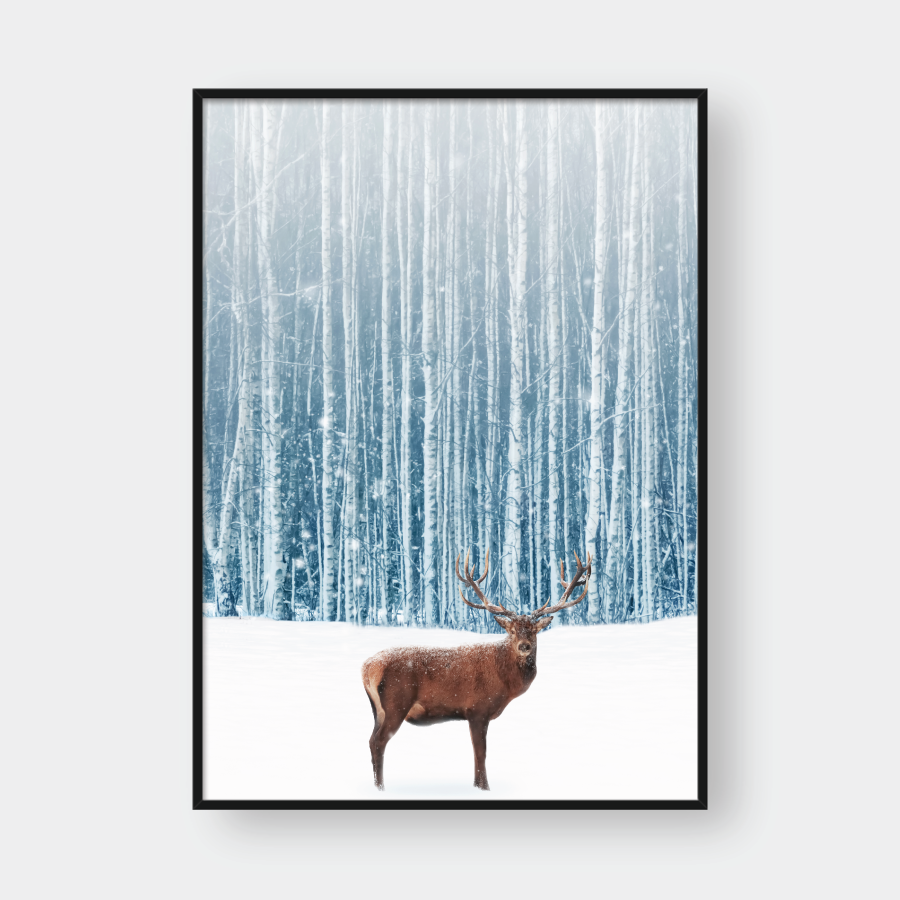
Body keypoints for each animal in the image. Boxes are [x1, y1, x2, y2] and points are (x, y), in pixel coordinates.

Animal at [361, 548, 591, 791]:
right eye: (512, 630)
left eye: (533, 630)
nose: (524, 646)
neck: (506, 683)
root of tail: (367, 668)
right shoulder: (477, 709)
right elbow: (481, 754)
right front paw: (484, 788)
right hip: (396, 703)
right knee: (379, 742)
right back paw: (381, 788)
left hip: (378, 710)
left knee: (371, 740)